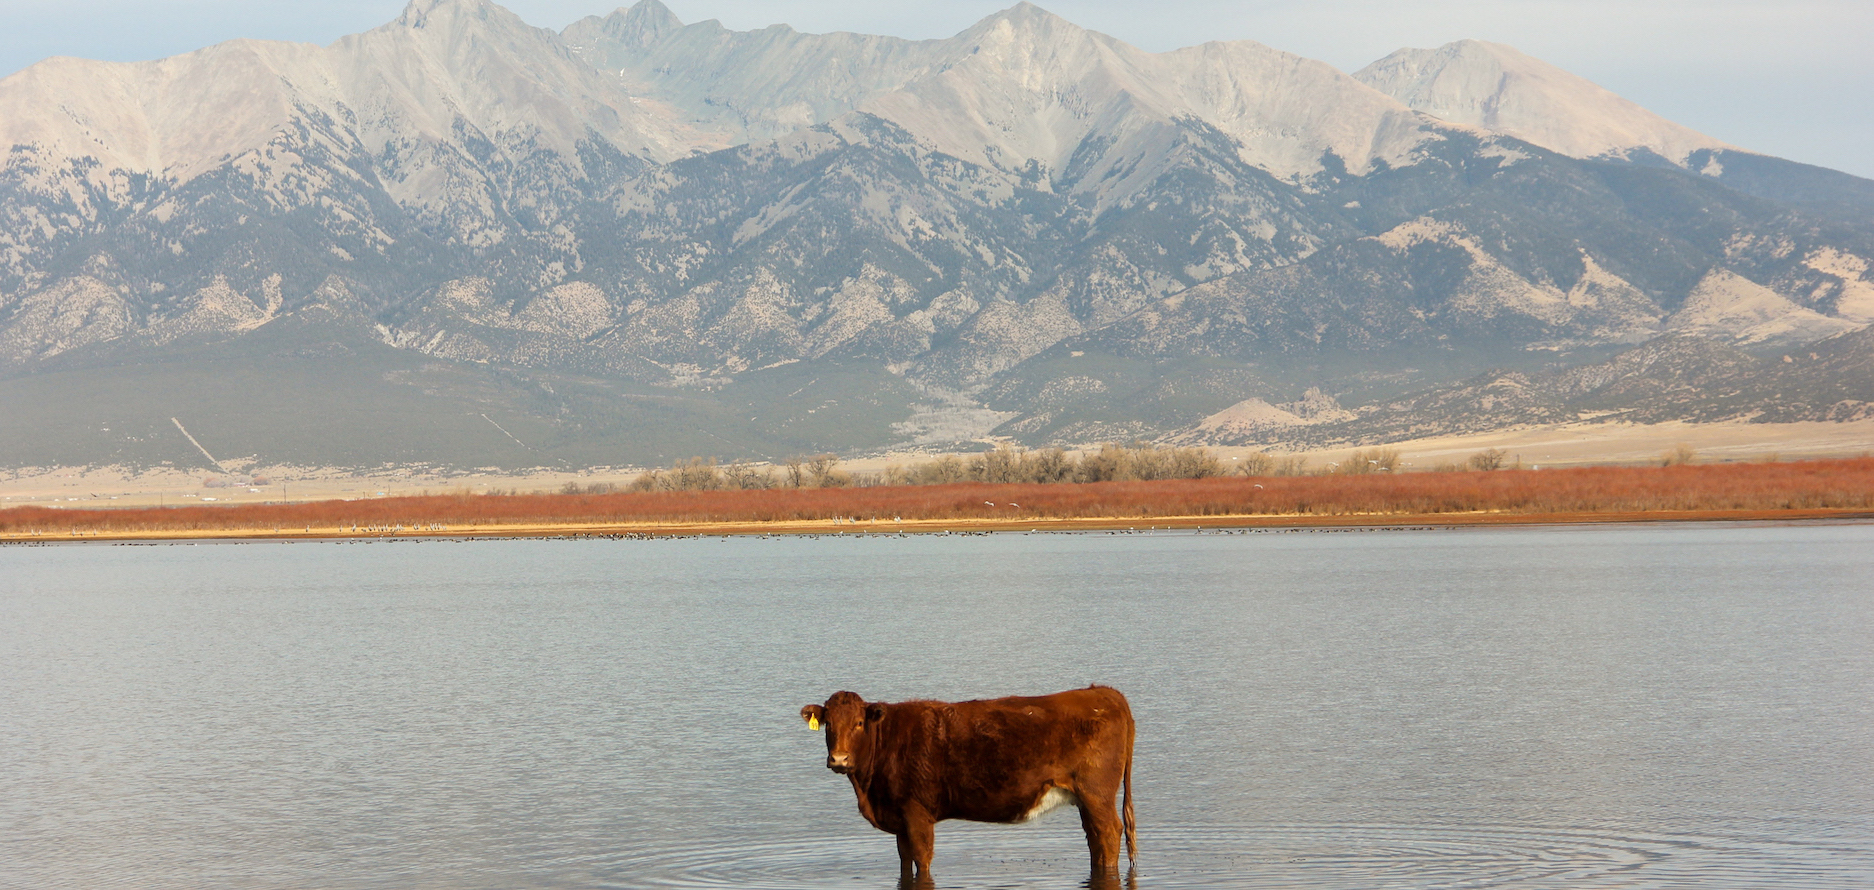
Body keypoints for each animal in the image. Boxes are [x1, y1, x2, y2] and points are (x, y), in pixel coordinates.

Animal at [798, 685, 1131, 880]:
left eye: (858, 723)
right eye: (828, 724)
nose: (839, 759)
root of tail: (1105, 692)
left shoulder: (917, 813)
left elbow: (922, 861)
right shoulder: (899, 818)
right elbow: (905, 860)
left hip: (1096, 794)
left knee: (1109, 834)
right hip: (1087, 799)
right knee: (1096, 839)